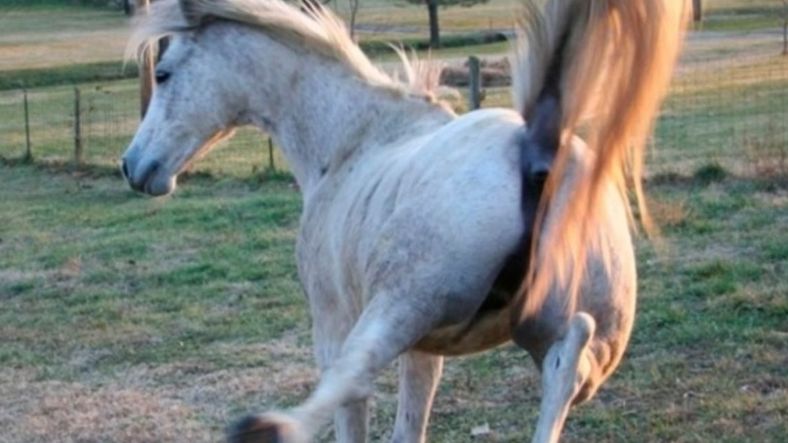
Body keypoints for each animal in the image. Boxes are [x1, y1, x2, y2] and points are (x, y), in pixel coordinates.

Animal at [120, 1, 687, 442]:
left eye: (163, 73)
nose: (133, 166)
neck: (352, 139)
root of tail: (540, 152)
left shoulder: (337, 322)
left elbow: (352, 406)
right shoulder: (426, 349)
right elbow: (409, 425)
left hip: (400, 306)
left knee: (353, 375)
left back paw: (267, 428)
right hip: (576, 342)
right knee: (566, 366)